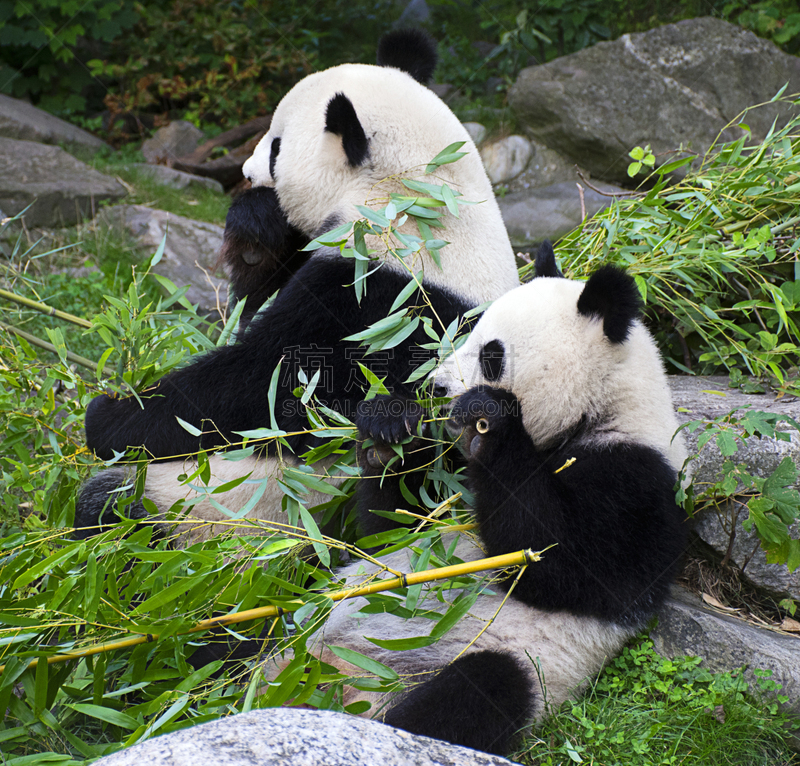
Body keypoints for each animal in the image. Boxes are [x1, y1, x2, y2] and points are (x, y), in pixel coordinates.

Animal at [76, 28, 520, 536]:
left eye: (276, 147)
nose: (246, 174)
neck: (413, 199)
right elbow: (252, 307)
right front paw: (257, 222)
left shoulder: (380, 299)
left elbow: (263, 385)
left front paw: (108, 416)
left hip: (221, 504)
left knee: (116, 511)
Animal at [296, 252, 684, 756]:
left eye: (491, 355)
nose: (437, 388)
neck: (598, 407)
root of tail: (339, 680)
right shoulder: (453, 480)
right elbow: (393, 533)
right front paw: (388, 427)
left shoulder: (637, 482)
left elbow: (557, 566)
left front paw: (488, 418)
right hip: (305, 613)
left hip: (500, 661)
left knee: (476, 693)